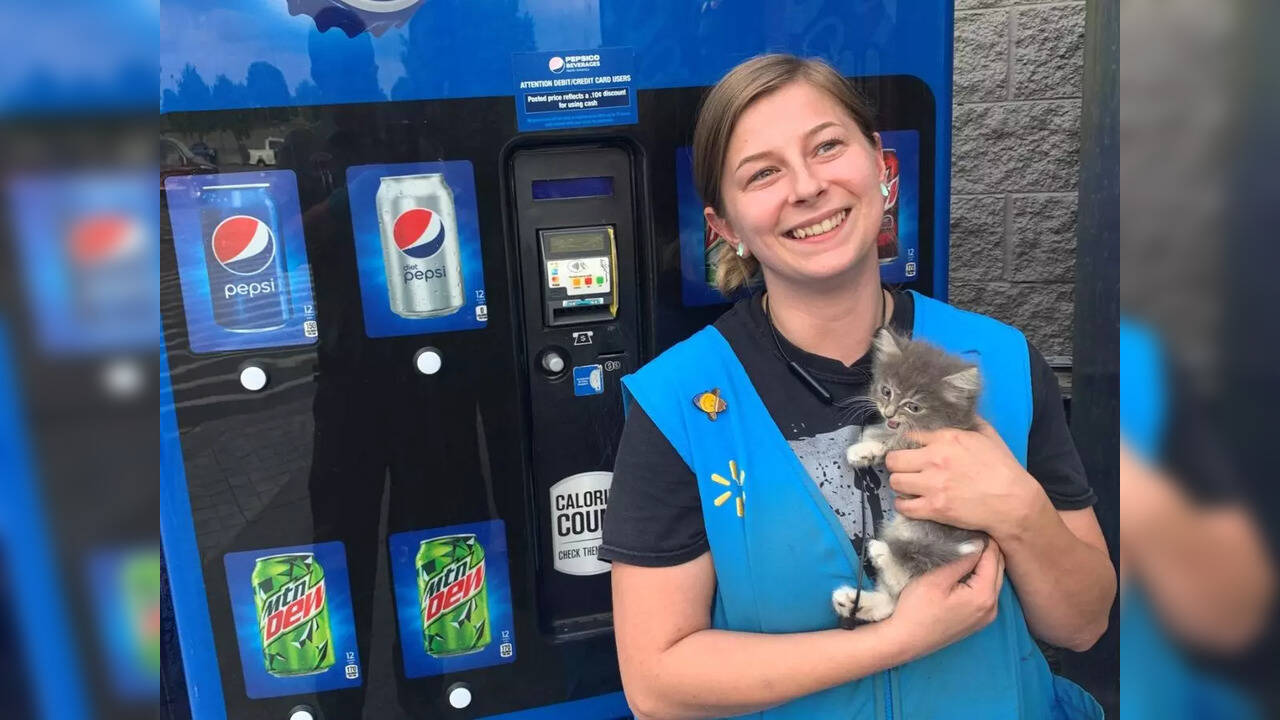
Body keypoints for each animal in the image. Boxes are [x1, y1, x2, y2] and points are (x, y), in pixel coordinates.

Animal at [834, 326, 983, 622]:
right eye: (886, 391)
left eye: (914, 406)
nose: (888, 412)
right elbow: (885, 433)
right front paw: (867, 445)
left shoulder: (931, 440)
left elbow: (898, 440)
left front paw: (864, 447)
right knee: (893, 602)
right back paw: (852, 601)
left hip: (927, 531)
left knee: (911, 571)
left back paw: (882, 552)